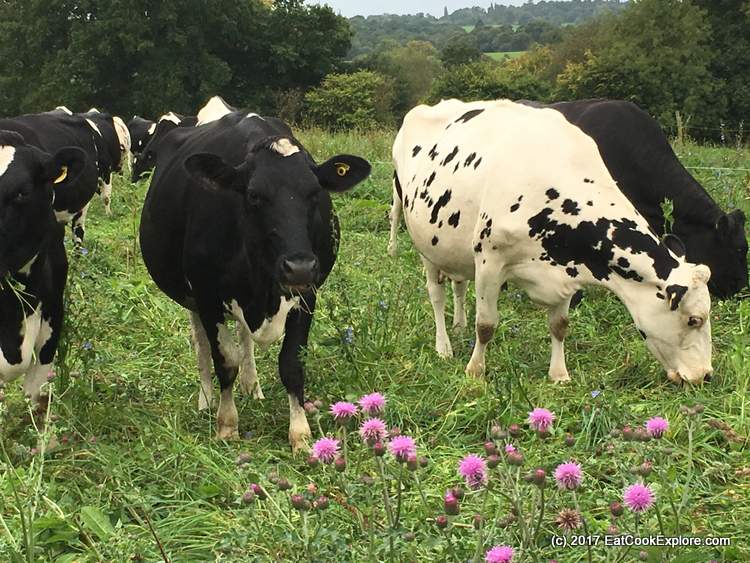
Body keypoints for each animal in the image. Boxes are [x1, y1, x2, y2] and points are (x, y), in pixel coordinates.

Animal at [139, 111, 371, 451]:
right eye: (253, 195)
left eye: (315, 193)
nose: (299, 267)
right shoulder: (207, 296)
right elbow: (225, 361)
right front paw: (226, 424)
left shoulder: (307, 295)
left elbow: (291, 364)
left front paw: (300, 433)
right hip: (190, 298)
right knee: (201, 344)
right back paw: (206, 399)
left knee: (244, 338)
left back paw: (252, 386)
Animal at [392, 99, 713, 385]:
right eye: (694, 319)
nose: (705, 375)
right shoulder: (489, 261)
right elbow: (485, 325)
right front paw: (475, 371)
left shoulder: (567, 269)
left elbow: (559, 327)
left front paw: (559, 374)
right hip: (426, 246)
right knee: (436, 295)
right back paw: (444, 346)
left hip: (453, 248)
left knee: (458, 285)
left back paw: (458, 325)